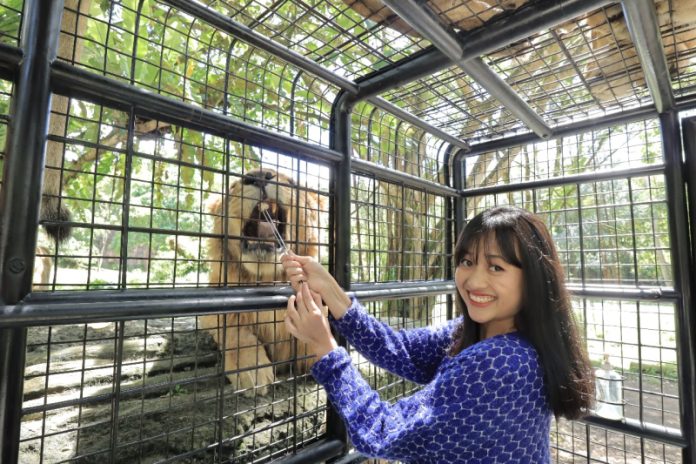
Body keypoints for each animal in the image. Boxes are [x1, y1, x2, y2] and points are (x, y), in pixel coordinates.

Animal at [198, 169, 324, 396]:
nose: (259, 175)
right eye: (233, 186)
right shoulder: (212, 312)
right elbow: (235, 330)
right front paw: (250, 371)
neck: (267, 279)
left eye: (292, 181)